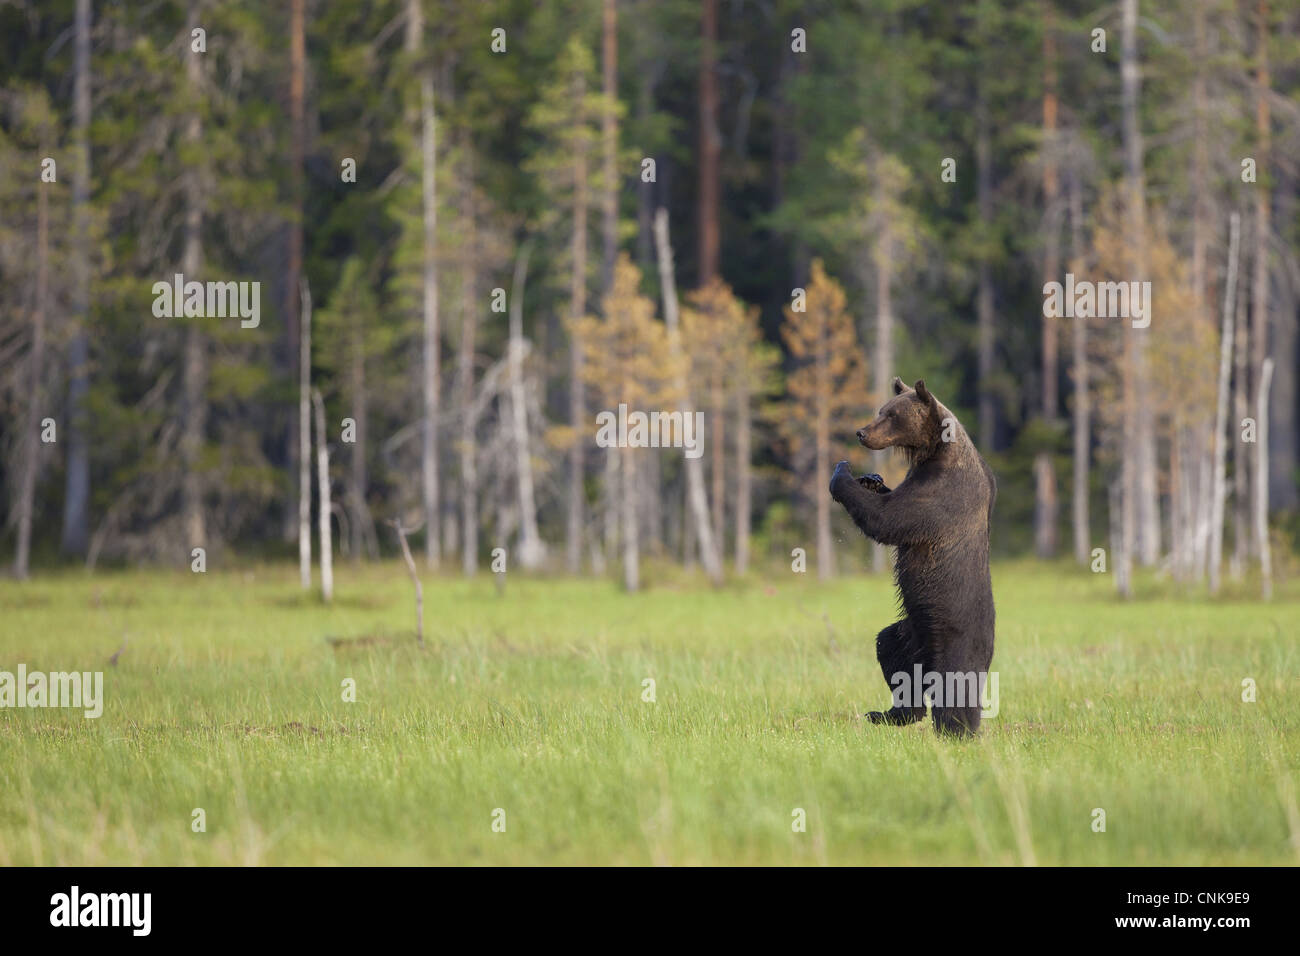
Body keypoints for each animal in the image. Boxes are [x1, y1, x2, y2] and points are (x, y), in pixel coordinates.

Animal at [828, 377, 996, 735]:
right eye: (882, 410)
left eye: (892, 415)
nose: (861, 432)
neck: (934, 449)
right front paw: (872, 479)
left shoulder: (939, 492)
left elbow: (888, 519)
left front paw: (843, 472)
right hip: (910, 631)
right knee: (892, 653)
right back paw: (892, 713)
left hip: (955, 632)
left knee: (955, 684)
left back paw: (956, 730)